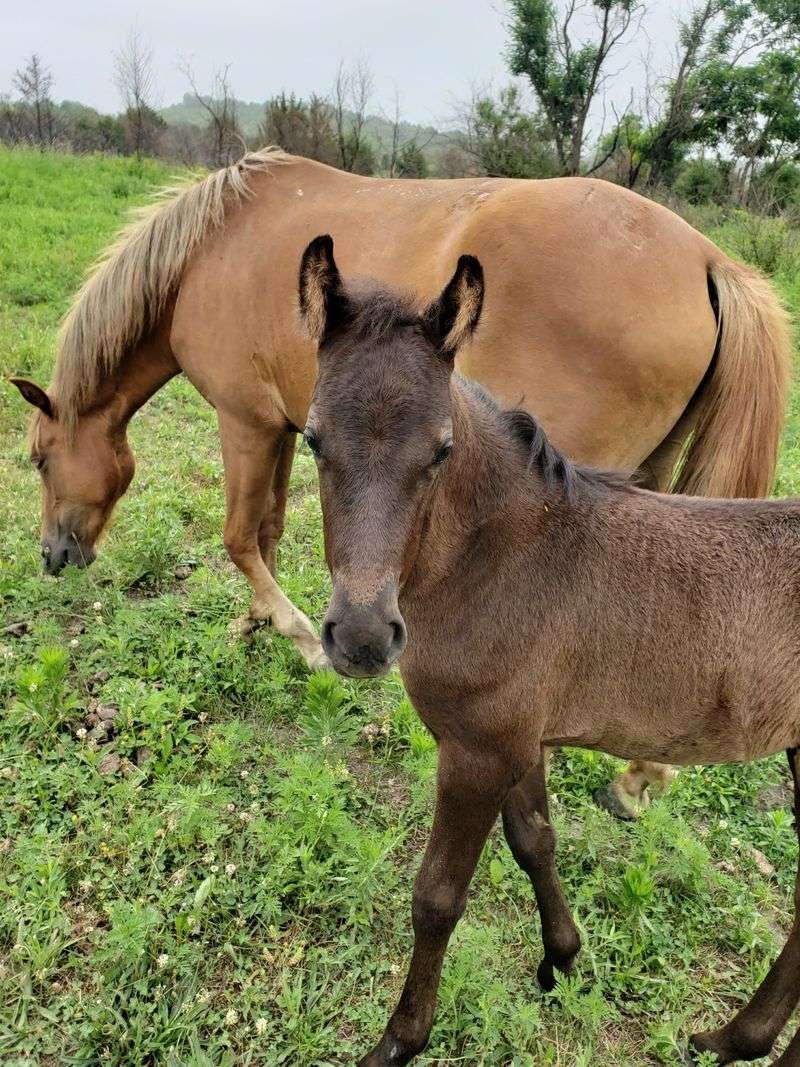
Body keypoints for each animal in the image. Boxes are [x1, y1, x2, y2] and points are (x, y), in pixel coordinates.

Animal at [10, 148, 790, 817]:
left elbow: (238, 537)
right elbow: (269, 529)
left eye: (39, 460)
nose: (52, 555)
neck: (209, 249)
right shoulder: (292, 428)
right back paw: (637, 774)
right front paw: (260, 620)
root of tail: (707, 257)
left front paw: (295, 634)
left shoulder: (246, 422)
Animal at [298, 234, 800, 1066]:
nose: (363, 636)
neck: (499, 553)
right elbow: (536, 837)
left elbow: (437, 896)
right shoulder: (519, 736)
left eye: (440, 450)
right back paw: (736, 1035)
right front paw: (561, 958)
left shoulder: (476, 748)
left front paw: (399, 1039)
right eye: (311, 439)